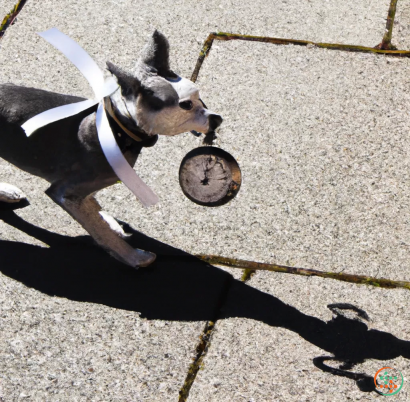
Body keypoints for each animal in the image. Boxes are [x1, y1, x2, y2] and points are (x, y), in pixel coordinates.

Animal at [0, 30, 223, 266]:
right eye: (186, 105)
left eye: (199, 96)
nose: (217, 119)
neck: (118, 128)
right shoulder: (64, 193)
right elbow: (100, 231)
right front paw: (133, 256)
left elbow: (94, 209)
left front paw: (110, 222)